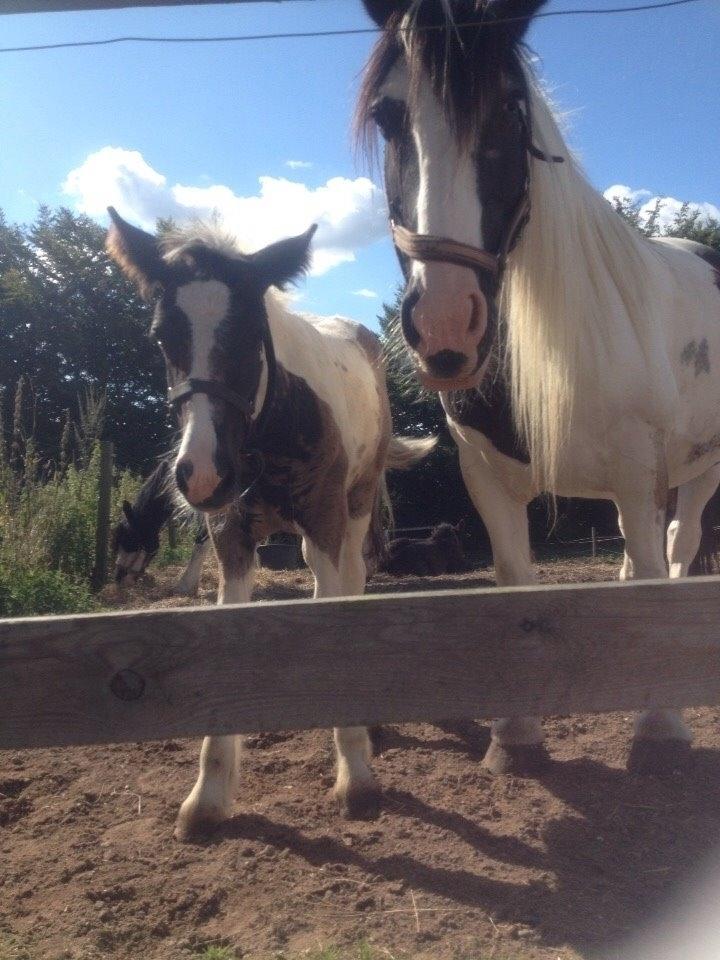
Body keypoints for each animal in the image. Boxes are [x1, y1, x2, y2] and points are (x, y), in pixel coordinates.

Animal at [107, 206, 434, 836]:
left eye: (249, 332)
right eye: (162, 336)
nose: (203, 473)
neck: (272, 427)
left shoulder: (328, 522)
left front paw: (356, 778)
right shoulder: (231, 539)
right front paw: (207, 798)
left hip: (355, 509)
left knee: (354, 579)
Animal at [362, 0, 720, 776]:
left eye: (508, 110)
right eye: (386, 115)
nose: (445, 324)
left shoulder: (638, 470)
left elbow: (657, 570)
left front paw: (659, 726)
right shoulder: (487, 478)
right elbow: (516, 581)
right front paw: (515, 733)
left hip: (701, 468)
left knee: (676, 549)